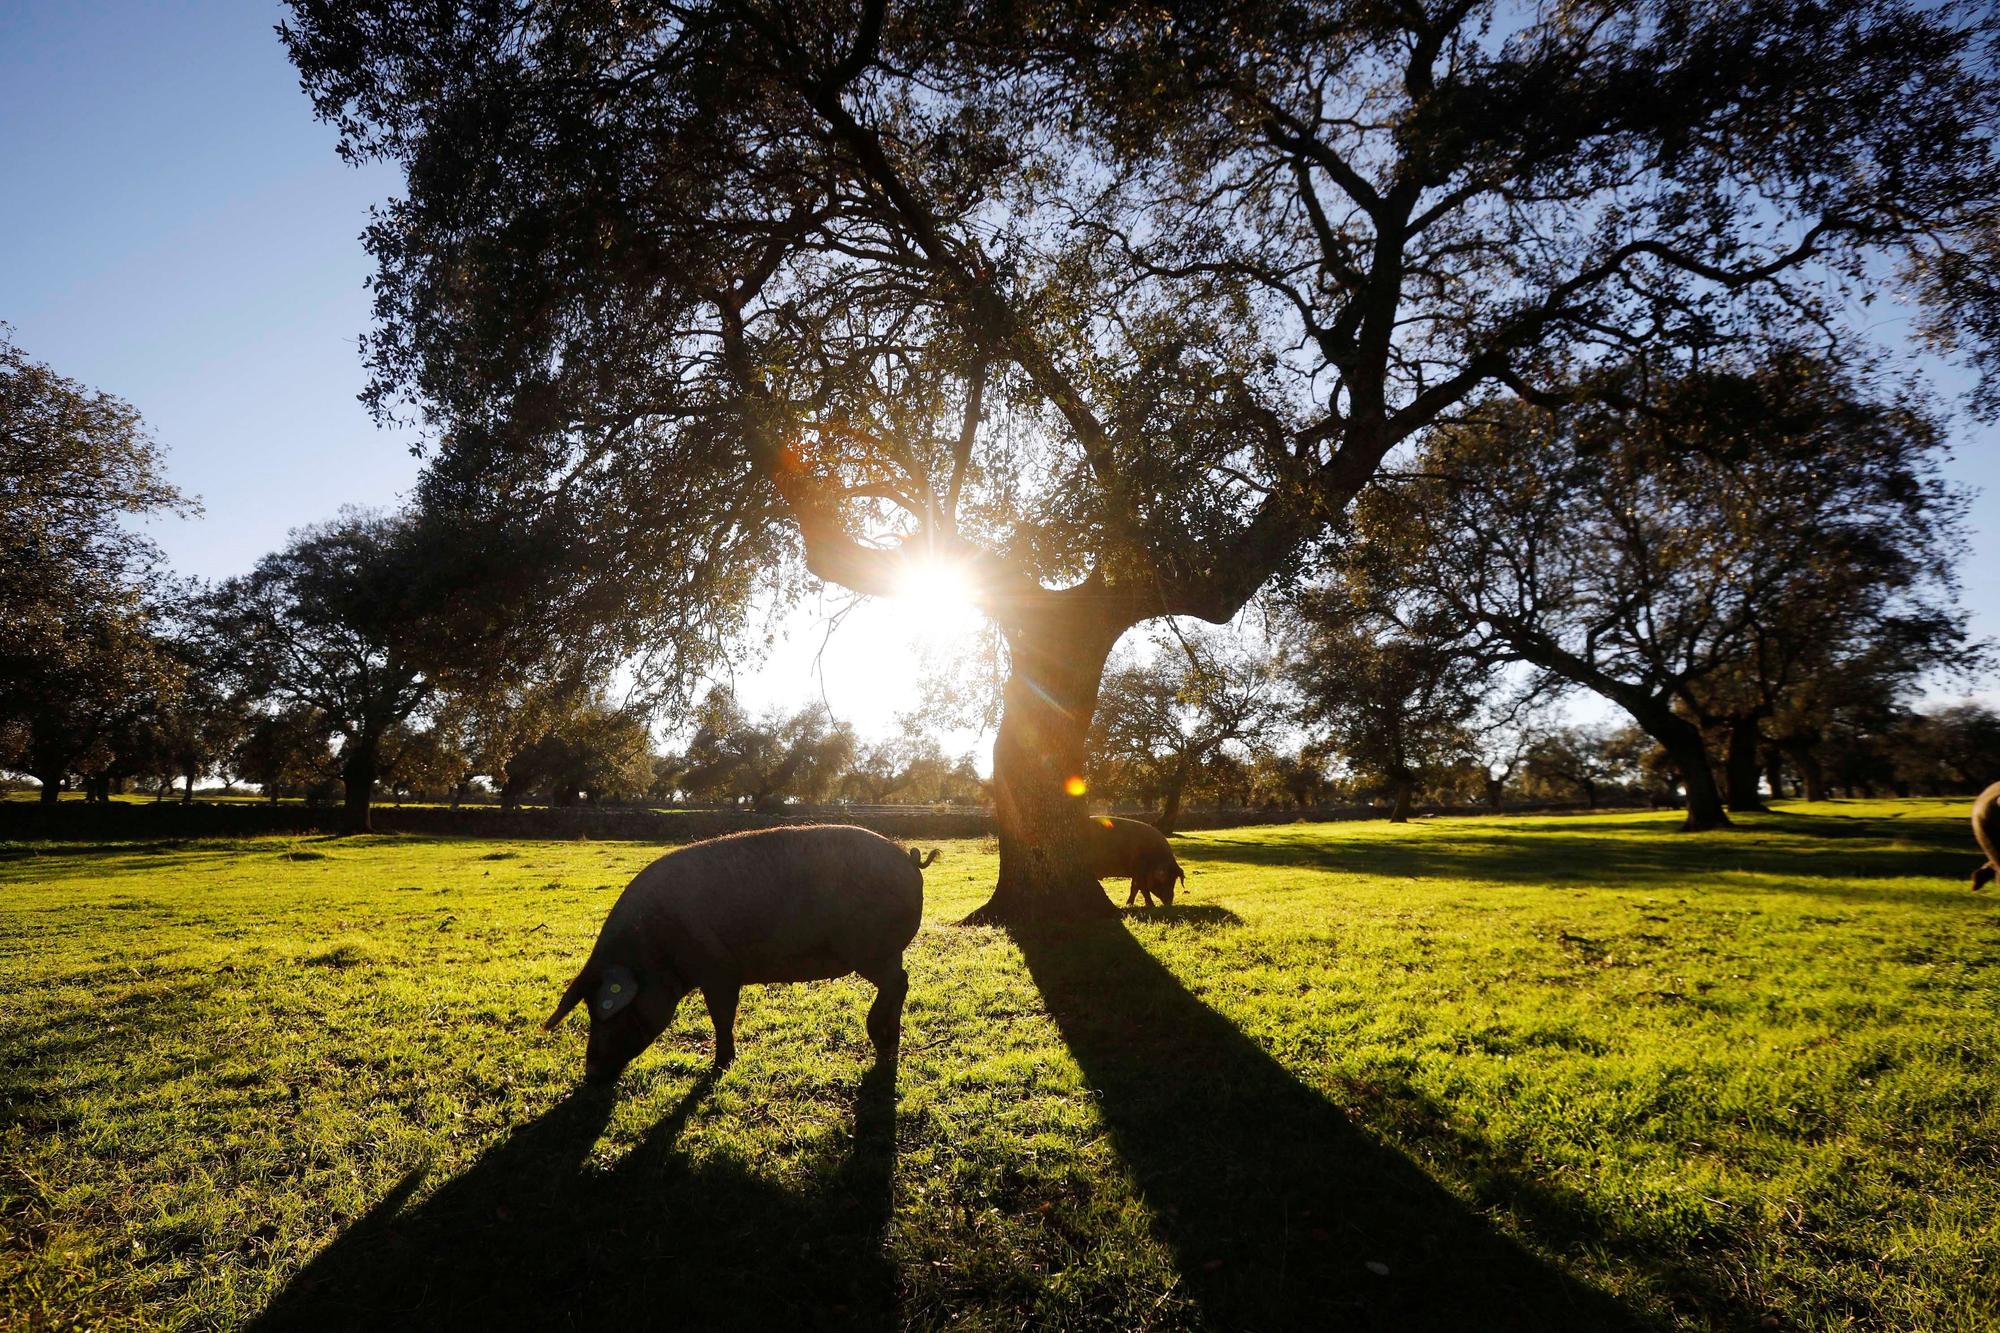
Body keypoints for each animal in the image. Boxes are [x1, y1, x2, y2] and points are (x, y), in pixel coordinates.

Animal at [540, 824, 928, 1072]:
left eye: (607, 1011)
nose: (591, 1072)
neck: (653, 951)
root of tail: (909, 859)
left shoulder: (719, 970)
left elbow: (722, 1016)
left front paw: (721, 1064)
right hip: (885, 951)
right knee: (901, 981)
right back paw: (888, 1046)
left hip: (870, 949)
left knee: (898, 982)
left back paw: (880, 1038)